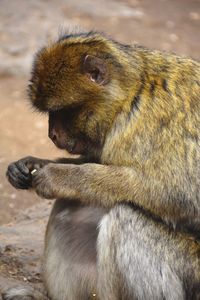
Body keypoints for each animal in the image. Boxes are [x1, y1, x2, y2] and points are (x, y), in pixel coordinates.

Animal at [2, 31, 200, 298]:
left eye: (61, 111)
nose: (51, 135)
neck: (130, 96)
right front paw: (31, 164)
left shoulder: (152, 121)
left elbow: (181, 194)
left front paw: (59, 176)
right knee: (70, 207)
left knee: (124, 221)